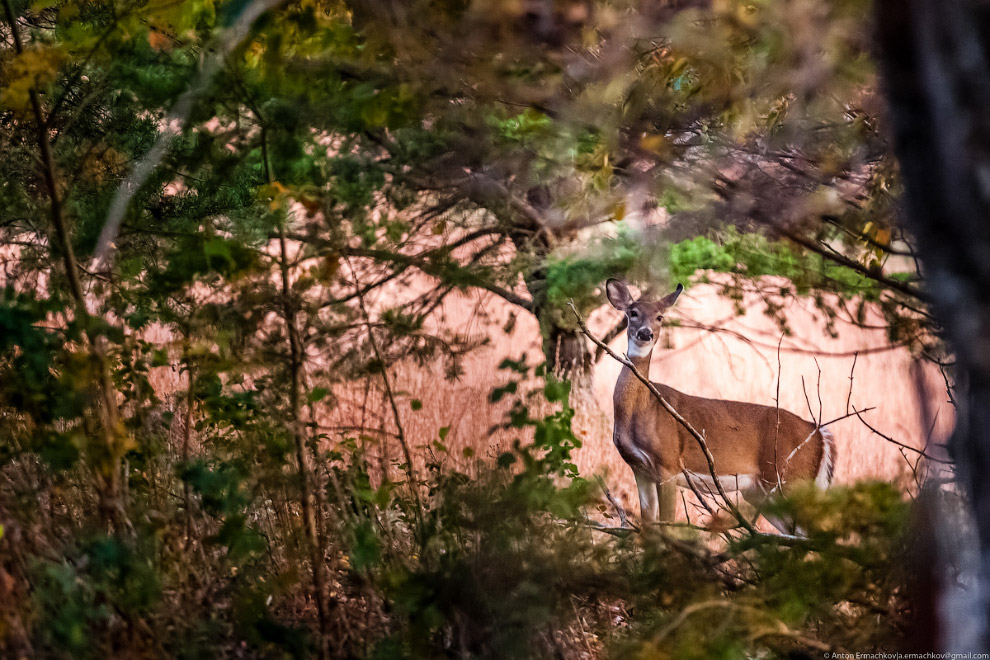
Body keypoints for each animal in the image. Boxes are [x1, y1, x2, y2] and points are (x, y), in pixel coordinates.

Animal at [604, 276, 836, 532]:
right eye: (633, 313)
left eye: (660, 317)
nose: (646, 334)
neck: (642, 408)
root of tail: (821, 435)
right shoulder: (640, 469)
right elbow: (649, 526)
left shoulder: (668, 463)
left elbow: (668, 523)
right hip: (762, 491)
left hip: (791, 479)